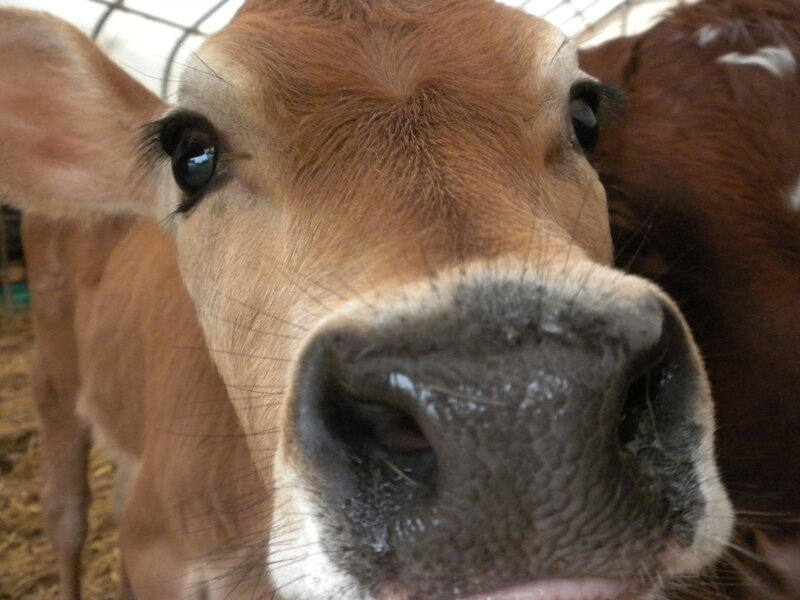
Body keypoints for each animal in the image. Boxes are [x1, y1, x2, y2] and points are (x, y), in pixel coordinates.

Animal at [0, 2, 734, 599]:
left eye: (585, 115)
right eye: (191, 153)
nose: (515, 413)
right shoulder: (156, 551)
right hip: (52, 379)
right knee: (66, 514)